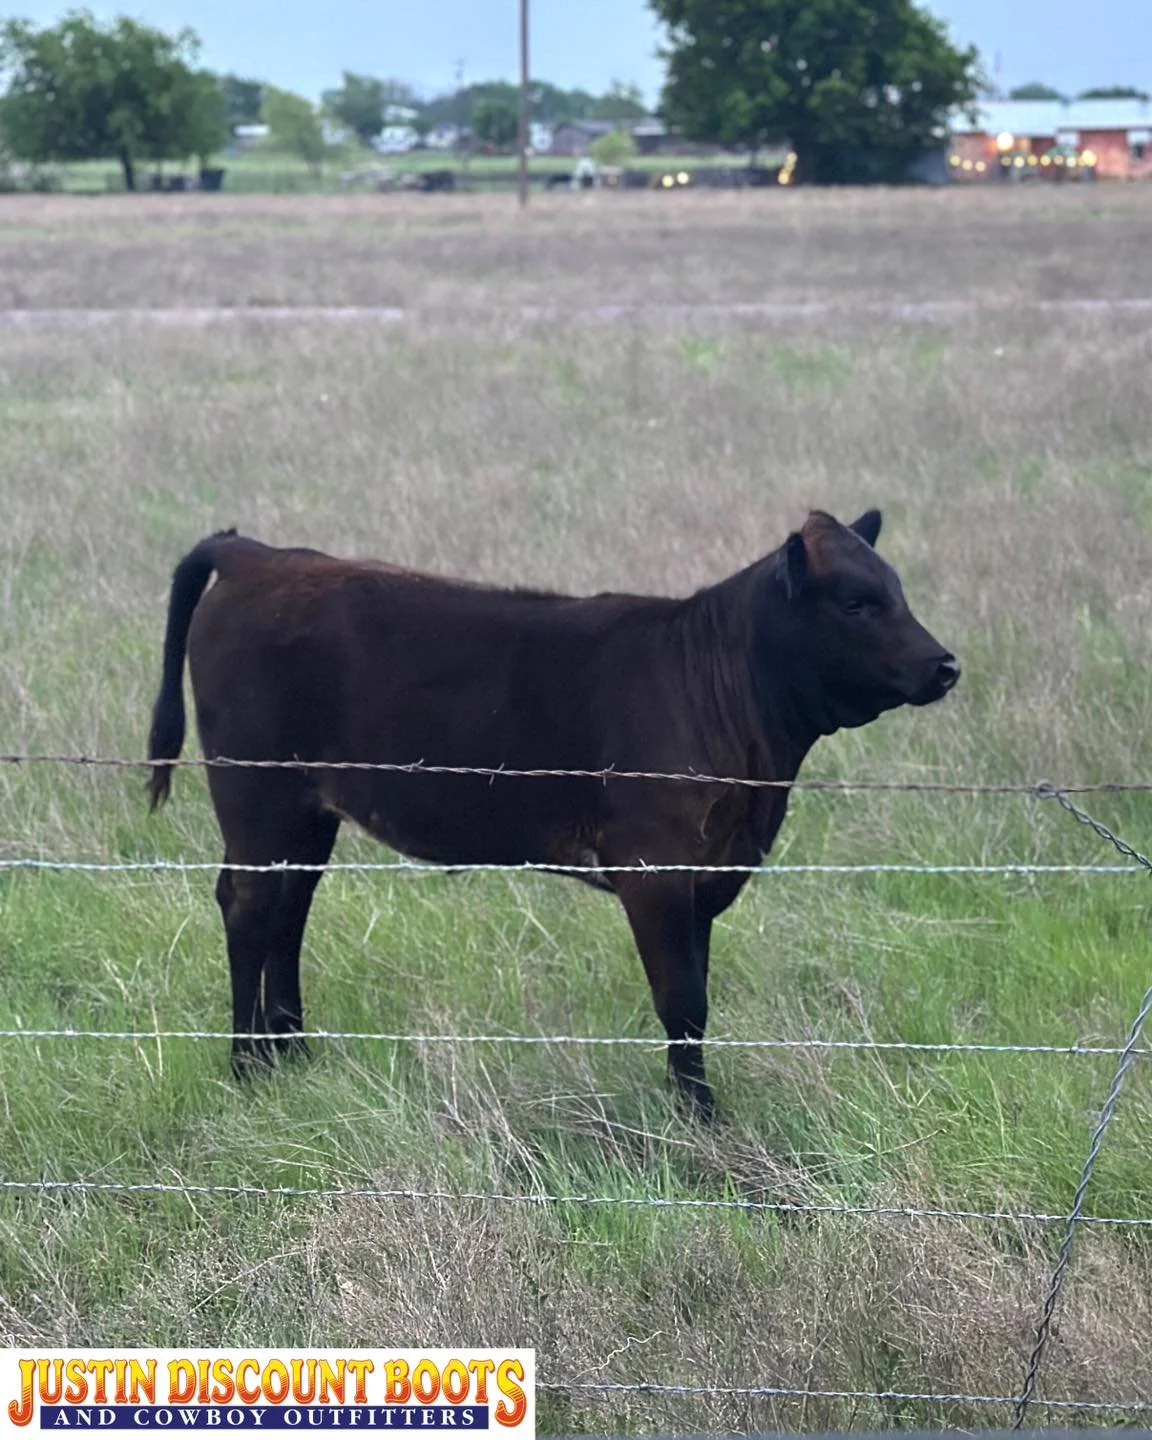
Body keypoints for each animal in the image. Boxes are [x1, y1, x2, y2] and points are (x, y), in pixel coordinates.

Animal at [147, 509, 959, 1119]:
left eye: (898, 590)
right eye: (854, 601)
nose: (945, 664)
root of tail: (259, 555)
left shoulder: (706, 870)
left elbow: (696, 998)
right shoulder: (655, 869)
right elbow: (683, 1000)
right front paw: (698, 1115)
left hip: (308, 810)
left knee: (290, 909)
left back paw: (293, 1052)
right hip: (256, 798)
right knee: (249, 906)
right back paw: (248, 1066)